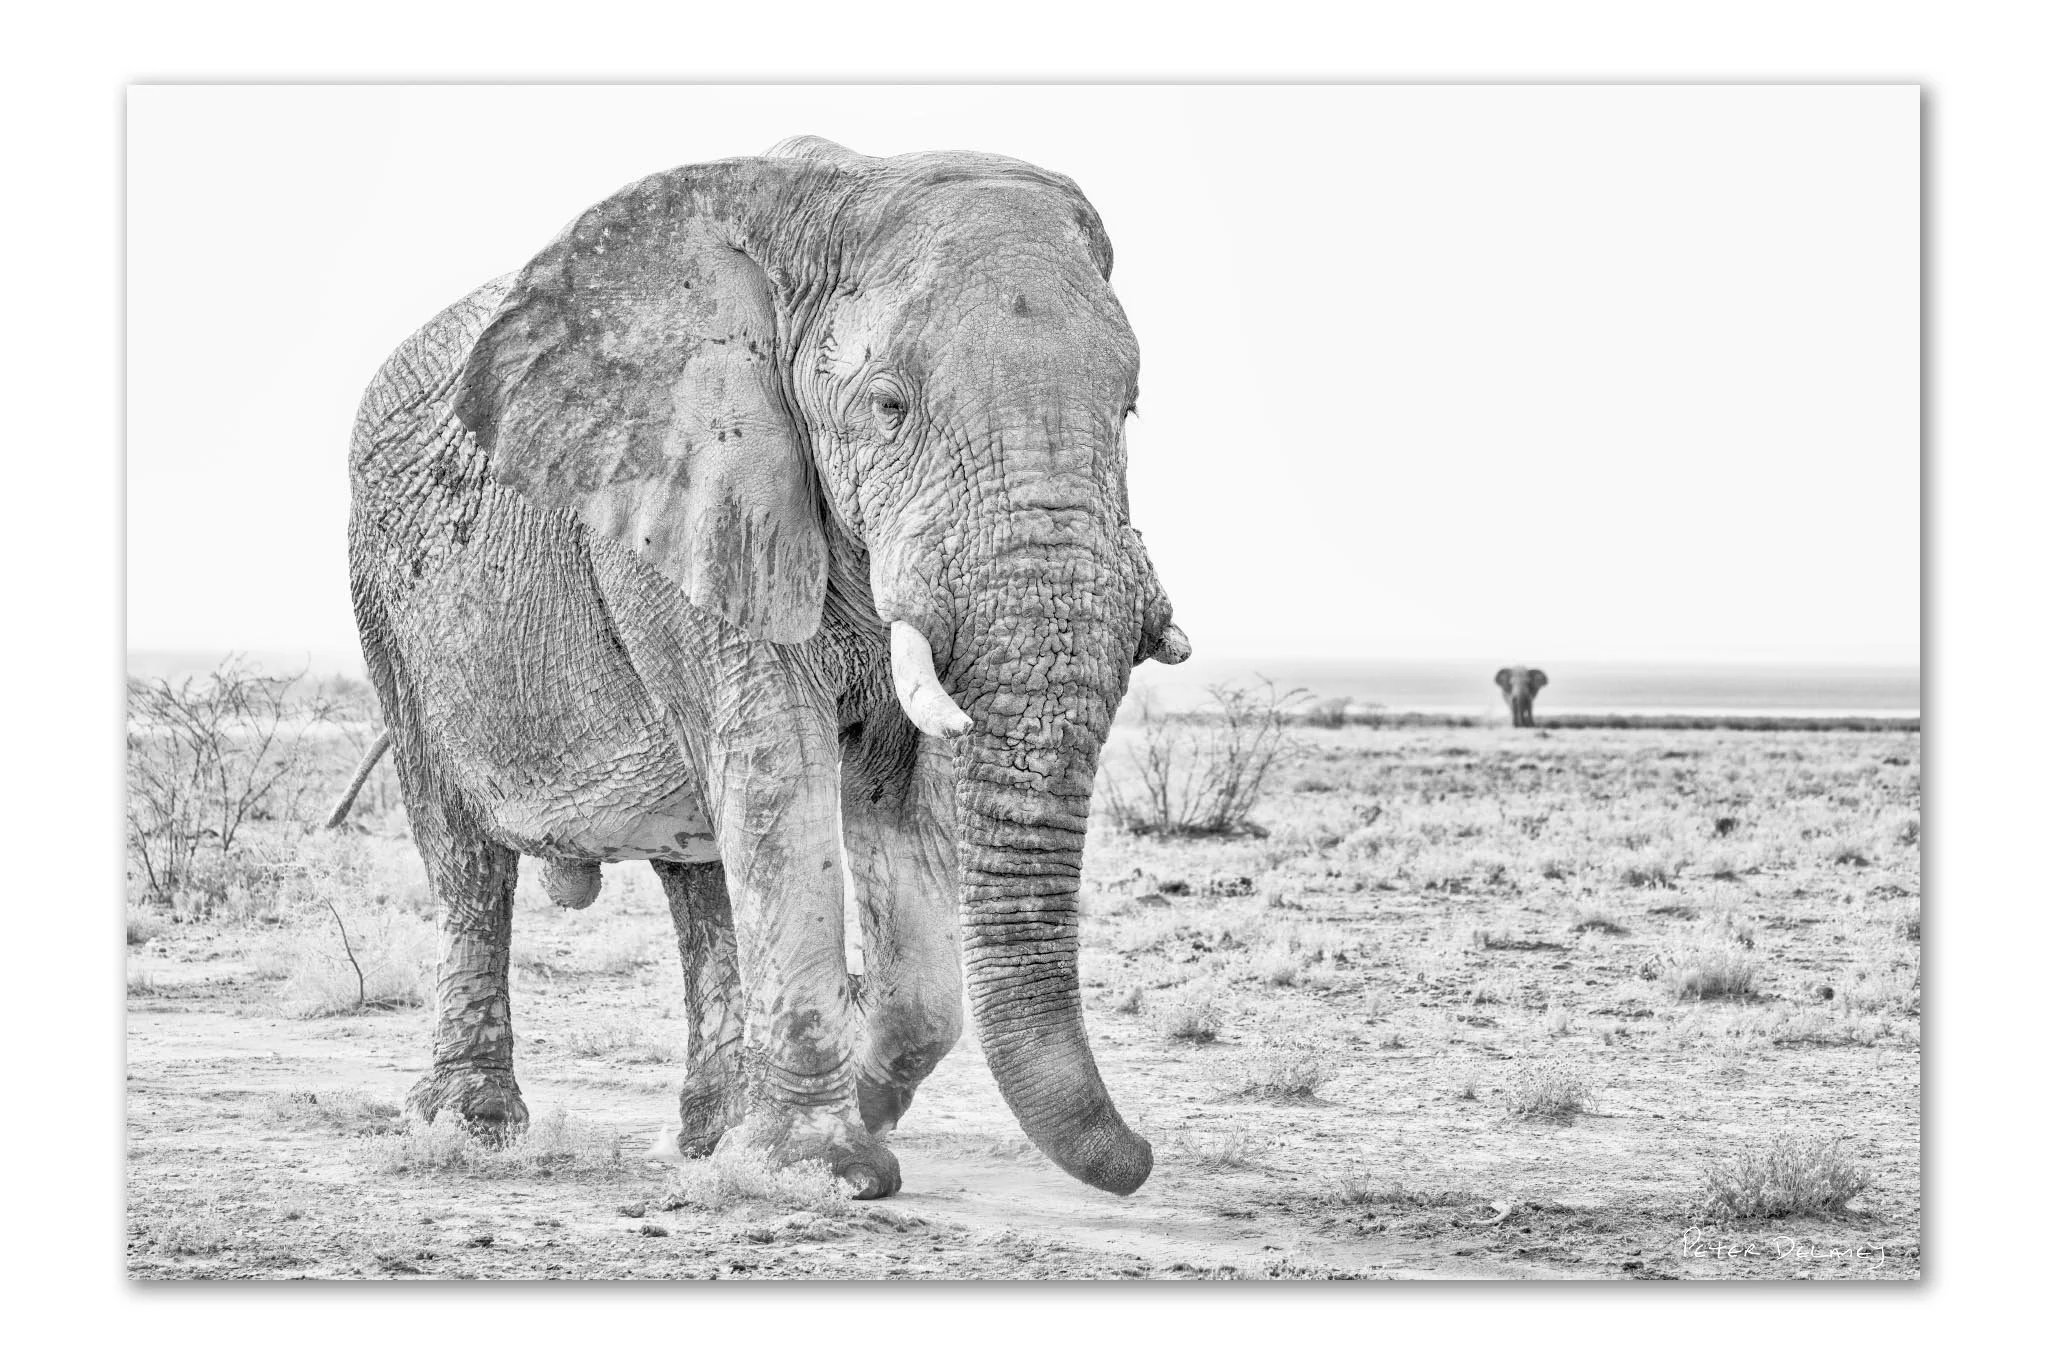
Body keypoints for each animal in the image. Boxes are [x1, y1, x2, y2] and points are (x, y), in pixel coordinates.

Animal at [344, 136, 1190, 1200]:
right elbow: (778, 761)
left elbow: (904, 809)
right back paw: (467, 1128)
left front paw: (828, 1129)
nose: (1142, 1159)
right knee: (465, 860)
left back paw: (708, 1134)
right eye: (887, 405)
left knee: (699, 872)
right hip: (386, 605)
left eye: (1130, 409)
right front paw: (822, 1171)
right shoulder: (688, 499)